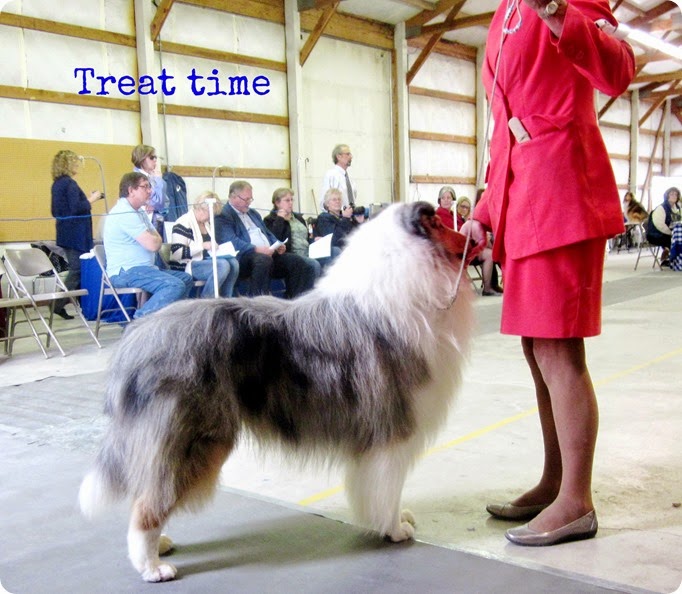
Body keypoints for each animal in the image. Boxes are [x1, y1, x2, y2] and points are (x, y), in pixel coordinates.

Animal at [79, 201, 472, 580]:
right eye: (440, 222)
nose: (475, 234)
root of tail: (137, 340)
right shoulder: (392, 431)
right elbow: (387, 489)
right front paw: (394, 529)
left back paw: (161, 545)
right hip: (191, 440)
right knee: (147, 505)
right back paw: (152, 566)